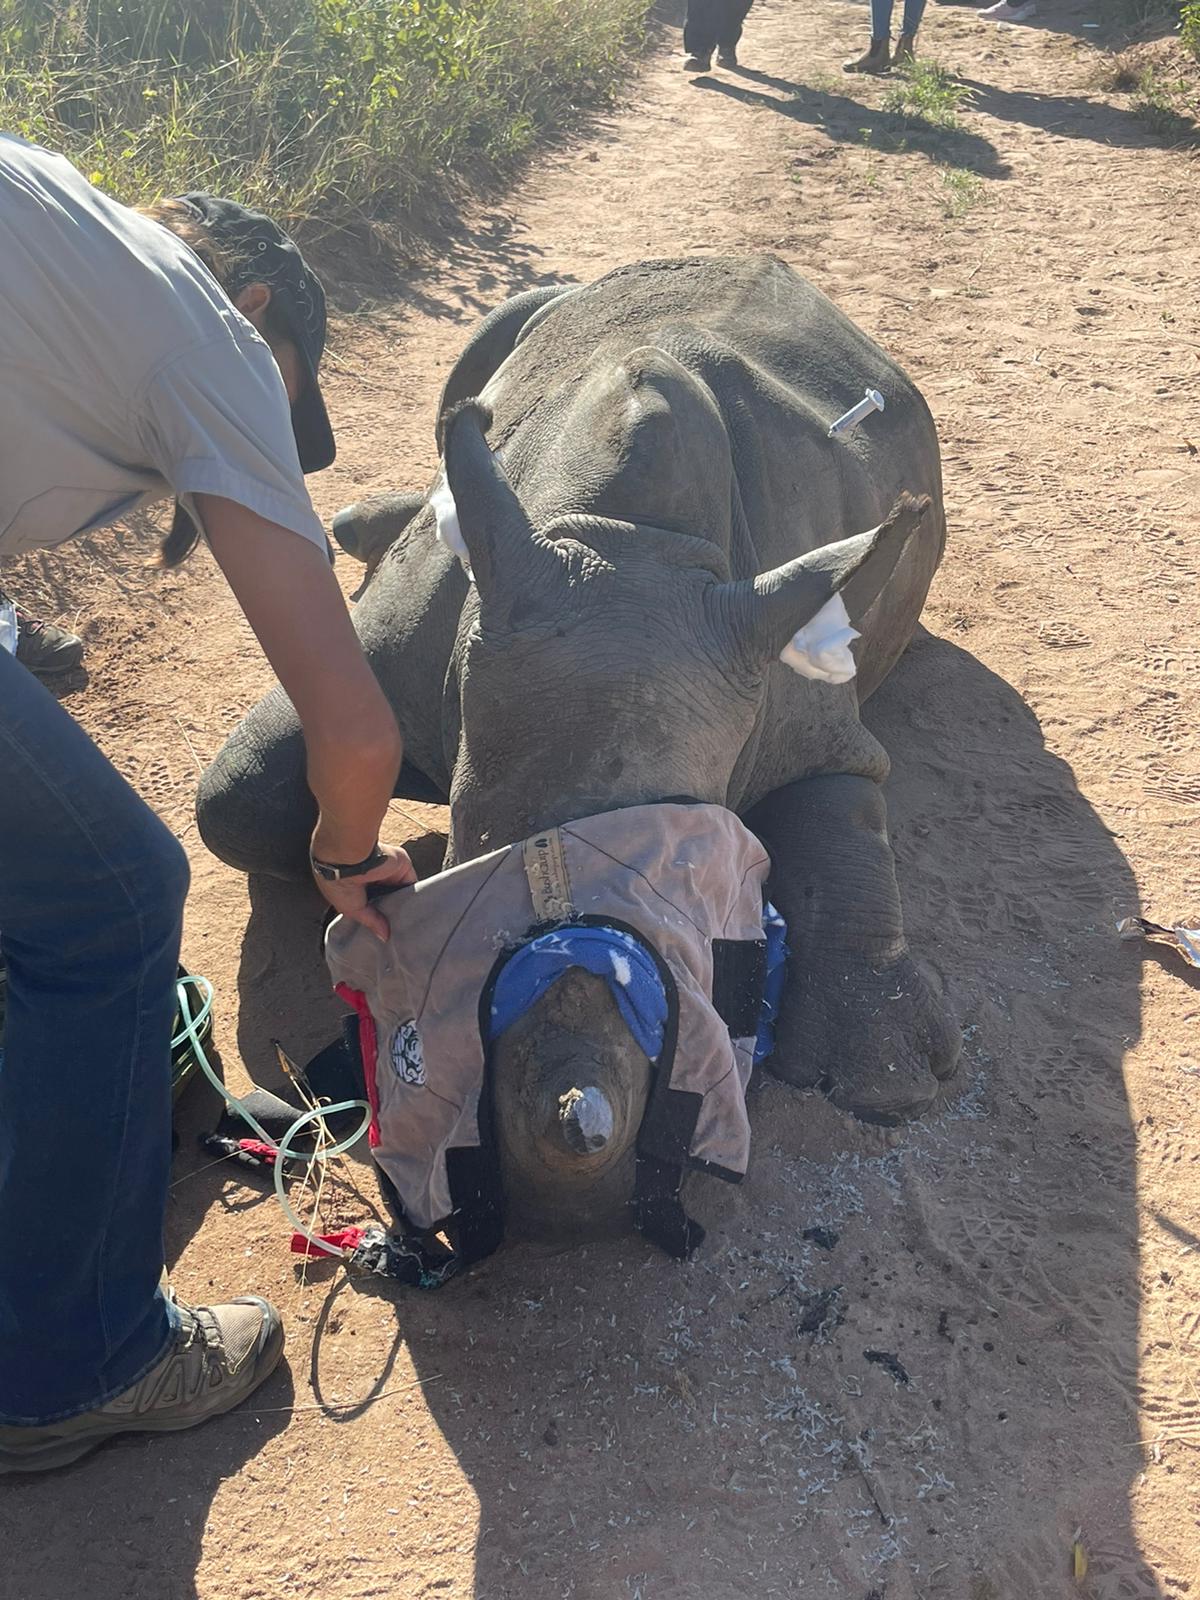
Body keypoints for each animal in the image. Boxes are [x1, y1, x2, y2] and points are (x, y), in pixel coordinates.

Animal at [197, 255, 960, 1239]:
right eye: (472, 848)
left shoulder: (783, 671)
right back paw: (365, 523)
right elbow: (237, 799)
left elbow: (846, 806)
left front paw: (889, 1085)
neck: (621, 544)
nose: (567, 1201)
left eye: (715, 895)